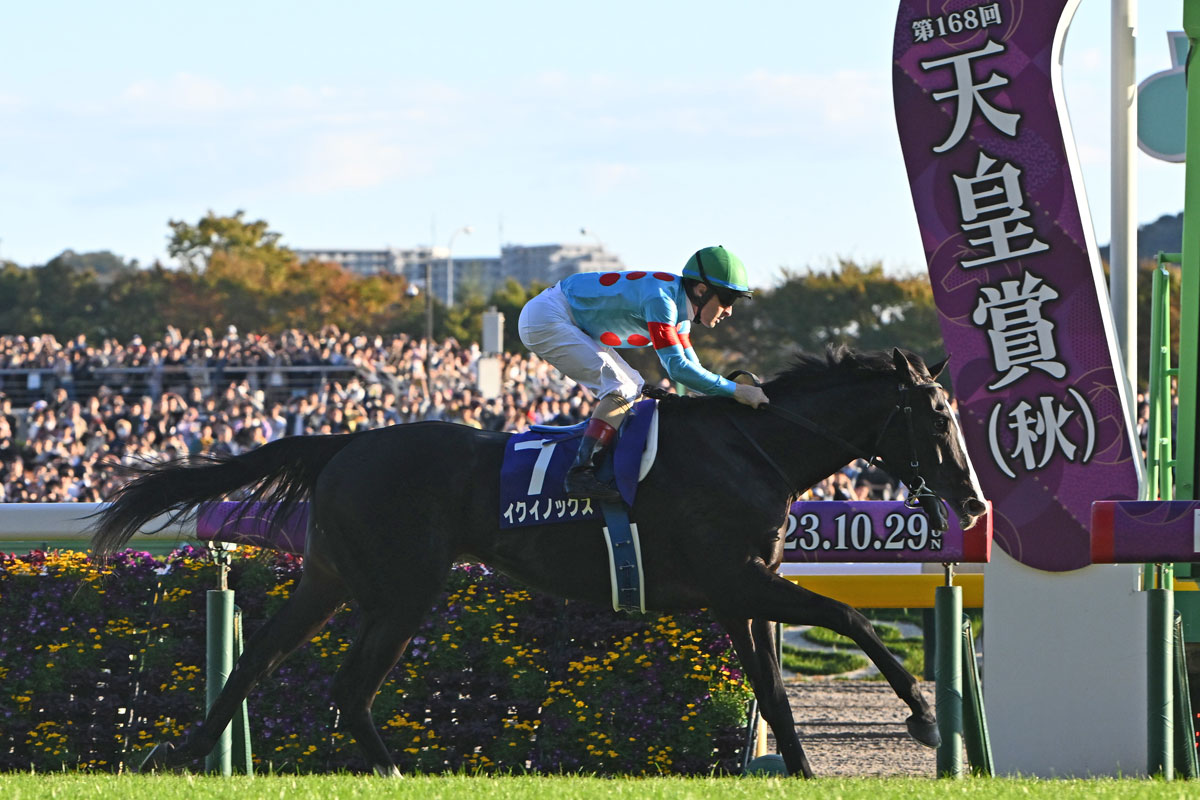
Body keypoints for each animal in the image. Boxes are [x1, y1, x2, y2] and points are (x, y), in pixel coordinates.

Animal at [90, 346, 987, 778]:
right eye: (940, 417)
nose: (975, 503)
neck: (749, 448)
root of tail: (343, 442)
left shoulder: (741, 593)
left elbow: (774, 689)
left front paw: (801, 771)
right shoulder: (738, 579)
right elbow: (848, 613)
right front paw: (921, 715)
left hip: (333, 577)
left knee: (265, 659)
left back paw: (182, 753)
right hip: (402, 589)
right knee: (347, 687)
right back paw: (399, 770)